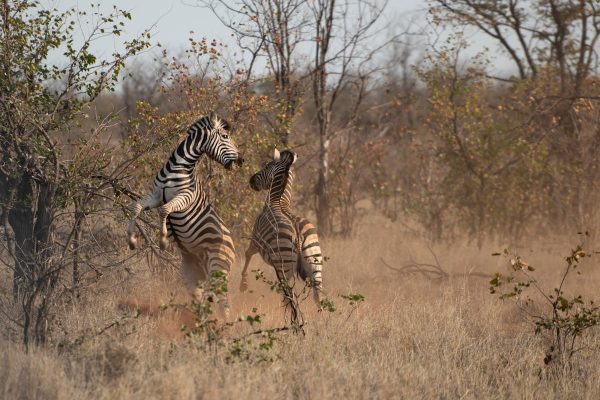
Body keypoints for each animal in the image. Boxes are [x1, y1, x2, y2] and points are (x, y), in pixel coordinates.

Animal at [126, 114, 241, 314]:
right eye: (225, 137)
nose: (241, 161)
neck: (178, 167)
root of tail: (232, 246)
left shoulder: (186, 196)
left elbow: (164, 210)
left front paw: (163, 241)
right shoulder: (156, 195)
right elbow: (136, 207)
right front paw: (132, 240)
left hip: (218, 268)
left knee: (224, 303)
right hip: (191, 274)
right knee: (202, 301)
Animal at [239, 148, 324, 304]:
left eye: (266, 166)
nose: (251, 180)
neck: (278, 200)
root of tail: (298, 235)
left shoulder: (255, 239)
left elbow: (247, 254)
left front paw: (243, 284)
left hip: (285, 266)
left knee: (289, 297)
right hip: (315, 262)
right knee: (318, 296)